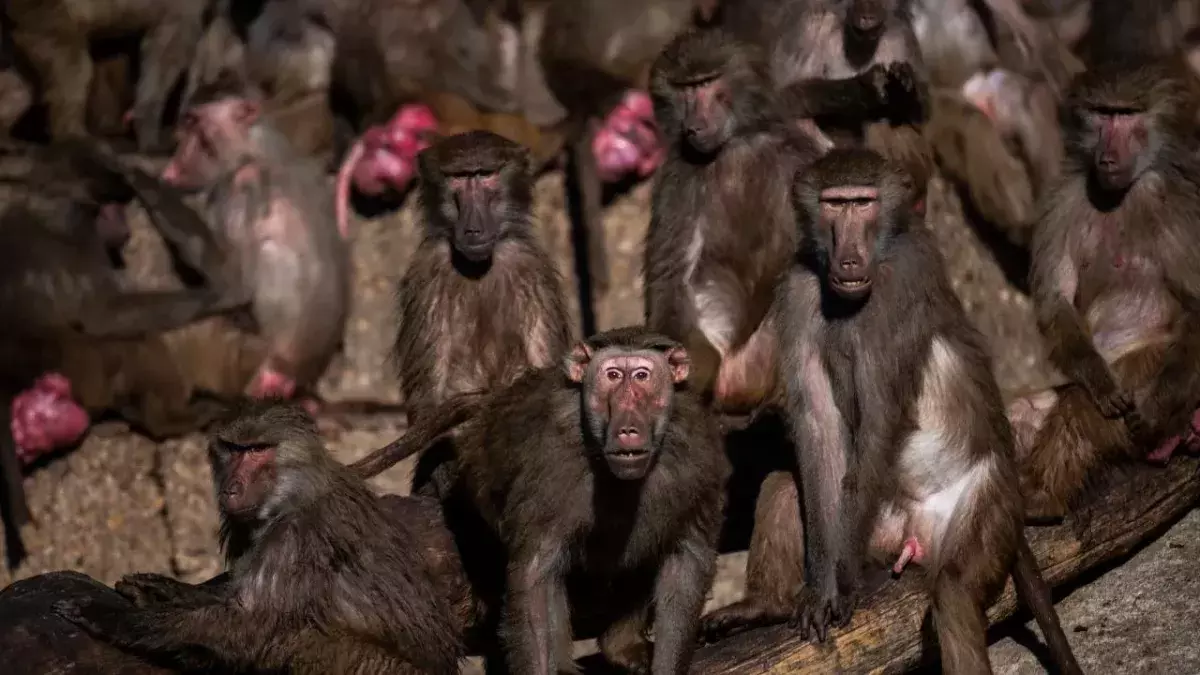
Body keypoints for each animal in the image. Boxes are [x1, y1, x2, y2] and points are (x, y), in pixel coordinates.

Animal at [52, 400, 465, 674]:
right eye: (234, 449)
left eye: (257, 451)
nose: (231, 489)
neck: (292, 495)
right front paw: (162, 591)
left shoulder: (295, 539)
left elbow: (247, 625)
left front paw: (112, 618)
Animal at [351, 327, 729, 674]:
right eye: (612, 376)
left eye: (642, 376)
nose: (628, 429)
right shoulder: (549, 464)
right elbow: (535, 575)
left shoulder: (699, 456)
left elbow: (685, 564)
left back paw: (621, 645)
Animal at [396, 131, 573, 498]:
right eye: (459, 178)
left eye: (485, 174)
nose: (474, 230)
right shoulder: (427, 271)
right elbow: (428, 390)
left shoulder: (532, 270)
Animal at [699, 148, 1081, 675]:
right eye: (834, 203)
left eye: (863, 203)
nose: (849, 258)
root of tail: (915, 534)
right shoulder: (798, 288)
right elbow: (818, 429)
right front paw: (821, 590)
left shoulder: (901, 281)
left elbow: (880, 417)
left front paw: (837, 591)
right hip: (874, 536)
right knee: (785, 483)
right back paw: (765, 605)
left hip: (987, 501)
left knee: (954, 596)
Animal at [1008, 58, 1200, 521]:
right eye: (1103, 113)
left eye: (1127, 115)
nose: (1107, 156)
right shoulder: (1063, 197)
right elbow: (1057, 297)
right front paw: (1097, 378)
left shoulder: (1176, 205)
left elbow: (1197, 304)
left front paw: (1154, 413)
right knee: (1032, 409)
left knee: (1081, 407)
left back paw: (1040, 500)